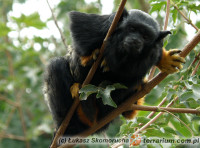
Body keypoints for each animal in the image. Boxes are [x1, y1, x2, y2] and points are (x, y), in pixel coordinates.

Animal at [43, 8, 185, 136]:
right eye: (132, 29)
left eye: (145, 36)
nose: (136, 40)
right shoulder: (108, 24)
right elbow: (80, 38)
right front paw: (90, 58)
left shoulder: (153, 50)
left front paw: (164, 59)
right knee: (56, 65)